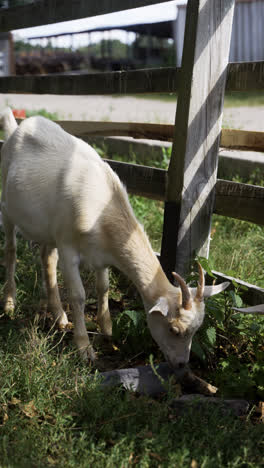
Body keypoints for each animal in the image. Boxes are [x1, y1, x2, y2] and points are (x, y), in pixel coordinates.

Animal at [0, 108, 229, 368]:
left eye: (196, 330)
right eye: (174, 329)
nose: (181, 365)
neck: (103, 210)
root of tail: (17, 128)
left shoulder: (101, 253)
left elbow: (104, 287)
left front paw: (107, 329)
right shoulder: (68, 247)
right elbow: (79, 295)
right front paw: (84, 348)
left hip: (48, 231)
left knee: (47, 258)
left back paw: (60, 316)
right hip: (8, 208)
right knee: (11, 250)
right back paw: (10, 303)